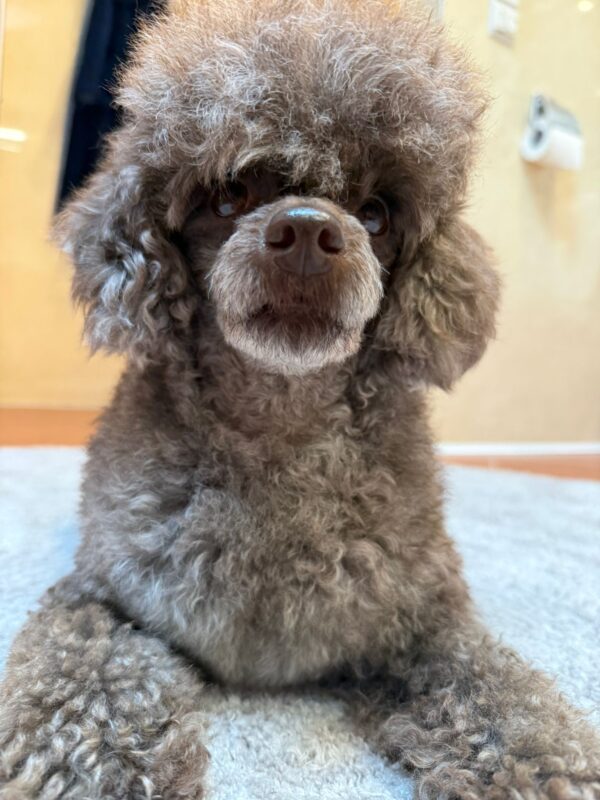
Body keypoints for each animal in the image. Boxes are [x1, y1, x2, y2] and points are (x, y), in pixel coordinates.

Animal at [1, 1, 599, 797]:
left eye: (376, 213)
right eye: (231, 193)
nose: (311, 231)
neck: (278, 428)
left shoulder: (421, 620)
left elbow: (500, 695)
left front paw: (541, 765)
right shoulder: (103, 600)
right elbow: (87, 687)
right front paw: (98, 770)